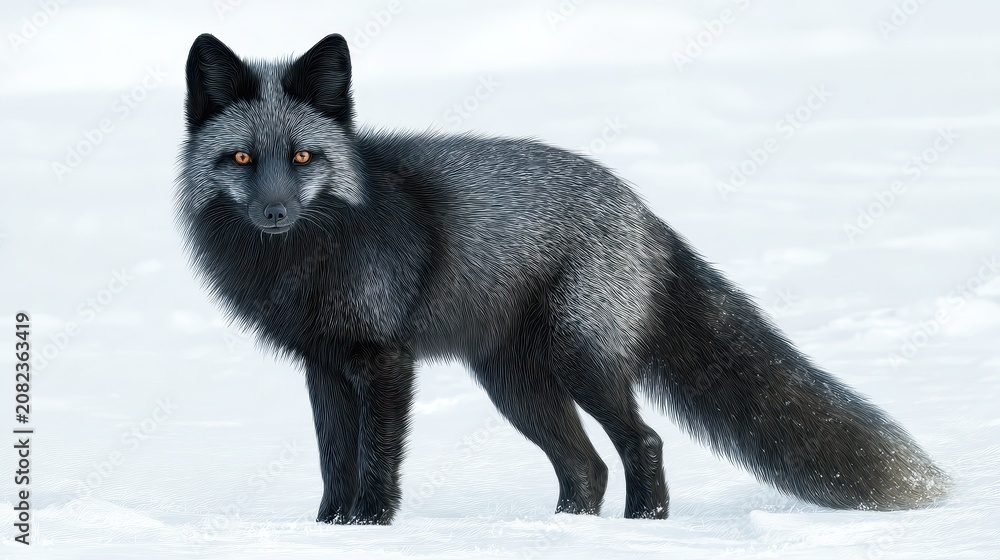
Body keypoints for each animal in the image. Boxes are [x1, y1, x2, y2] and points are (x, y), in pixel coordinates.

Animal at [176, 33, 950, 525]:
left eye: (304, 157)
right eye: (241, 159)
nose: (275, 212)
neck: (310, 256)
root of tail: (642, 208)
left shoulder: (383, 361)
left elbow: (375, 461)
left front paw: (370, 527)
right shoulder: (325, 364)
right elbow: (333, 460)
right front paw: (328, 530)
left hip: (581, 361)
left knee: (641, 443)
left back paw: (645, 527)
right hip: (519, 386)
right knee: (587, 468)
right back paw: (566, 534)